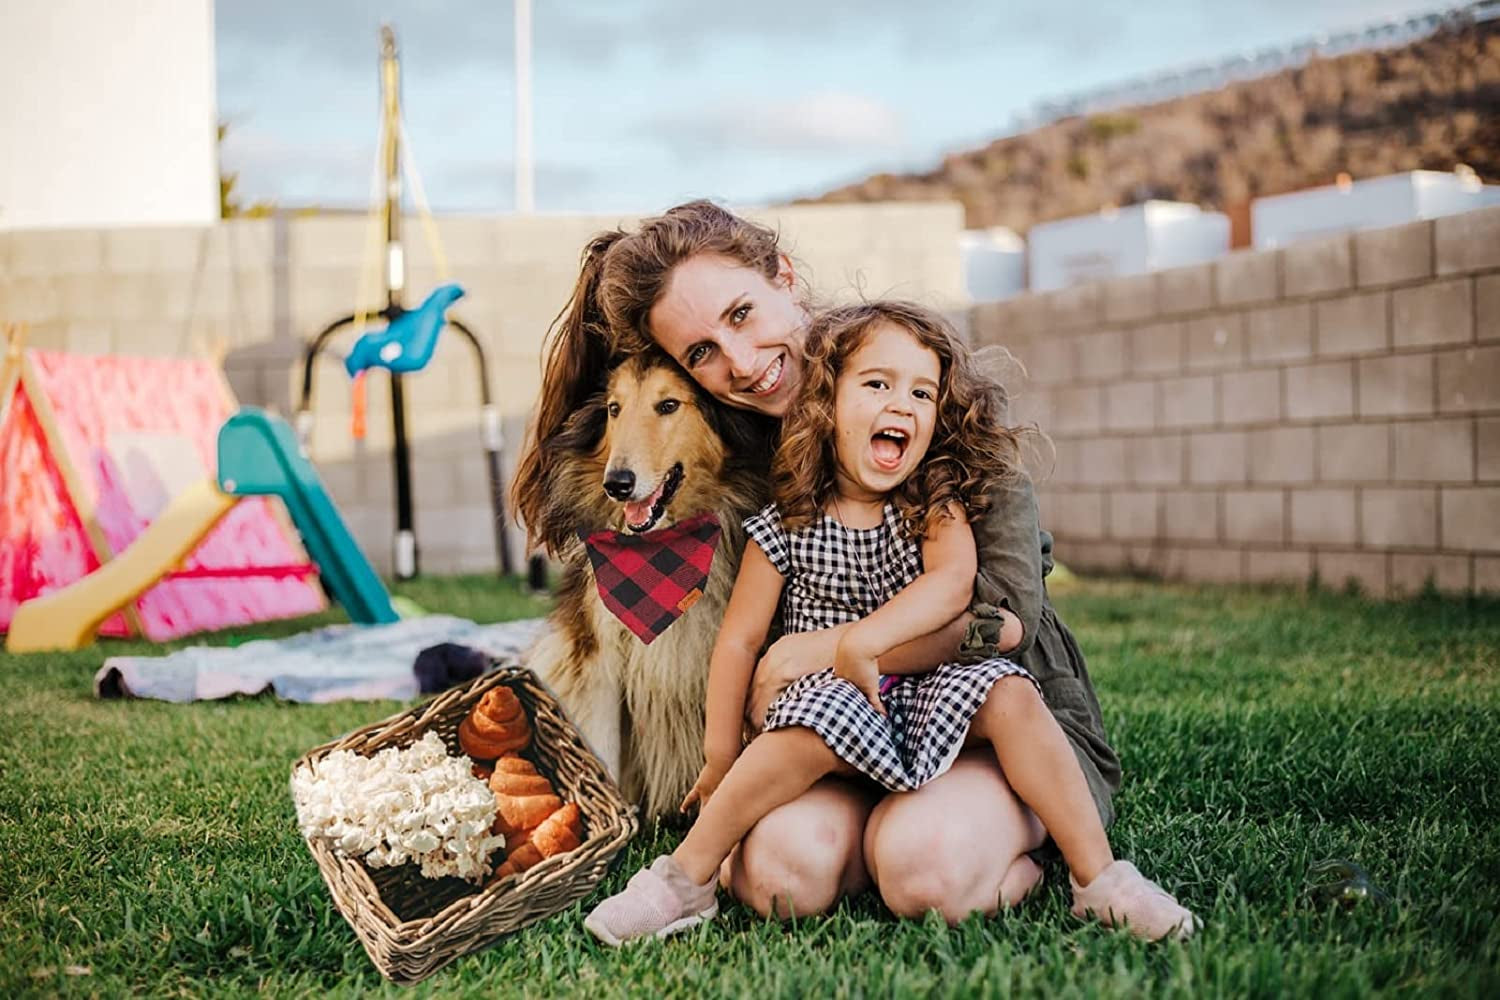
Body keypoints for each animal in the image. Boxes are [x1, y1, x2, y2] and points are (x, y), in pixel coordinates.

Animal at [525, 352, 762, 821]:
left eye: (668, 405)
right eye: (614, 409)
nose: (617, 484)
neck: (662, 552)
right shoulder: (599, 654)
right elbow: (604, 744)